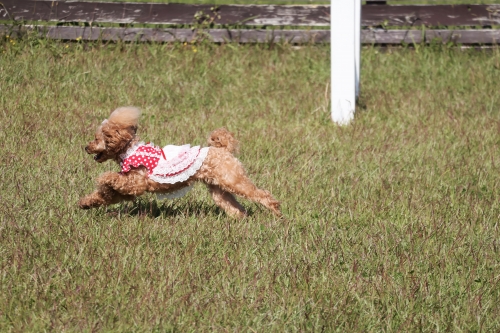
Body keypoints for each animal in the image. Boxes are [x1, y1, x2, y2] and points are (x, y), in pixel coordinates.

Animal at [78, 105, 282, 218]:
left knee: (261, 194)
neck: (128, 149)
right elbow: (107, 195)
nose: (86, 147)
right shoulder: (127, 190)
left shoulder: (136, 183)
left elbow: (112, 178)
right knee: (233, 206)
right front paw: (85, 203)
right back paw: (240, 219)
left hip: (233, 180)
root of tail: (223, 149)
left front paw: (103, 178)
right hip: (219, 188)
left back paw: (276, 211)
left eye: (96, 139)